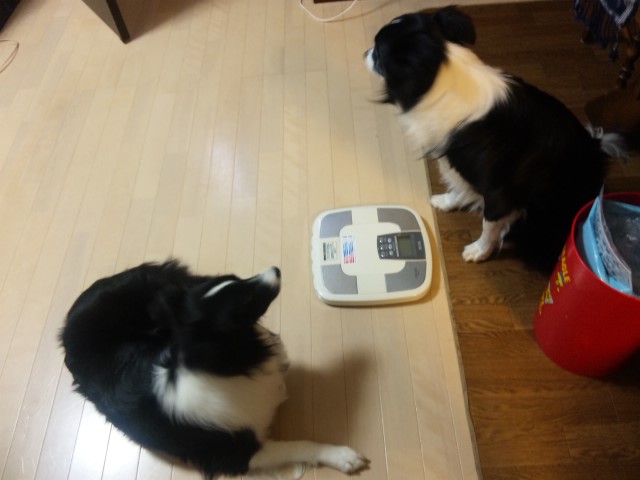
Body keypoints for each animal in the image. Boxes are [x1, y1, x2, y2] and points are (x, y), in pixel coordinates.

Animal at [60, 261, 368, 479]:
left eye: (236, 277)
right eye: (244, 302)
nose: (276, 270)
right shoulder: (236, 454)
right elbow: (299, 444)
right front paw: (343, 456)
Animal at [365, 6, 624, 271]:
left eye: (377, 51)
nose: (365, 52)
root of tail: (597, 153)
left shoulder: (500, 195)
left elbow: (488, 226)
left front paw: (479, 252)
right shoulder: (463, 169)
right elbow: (458, 187)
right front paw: (446, 202)